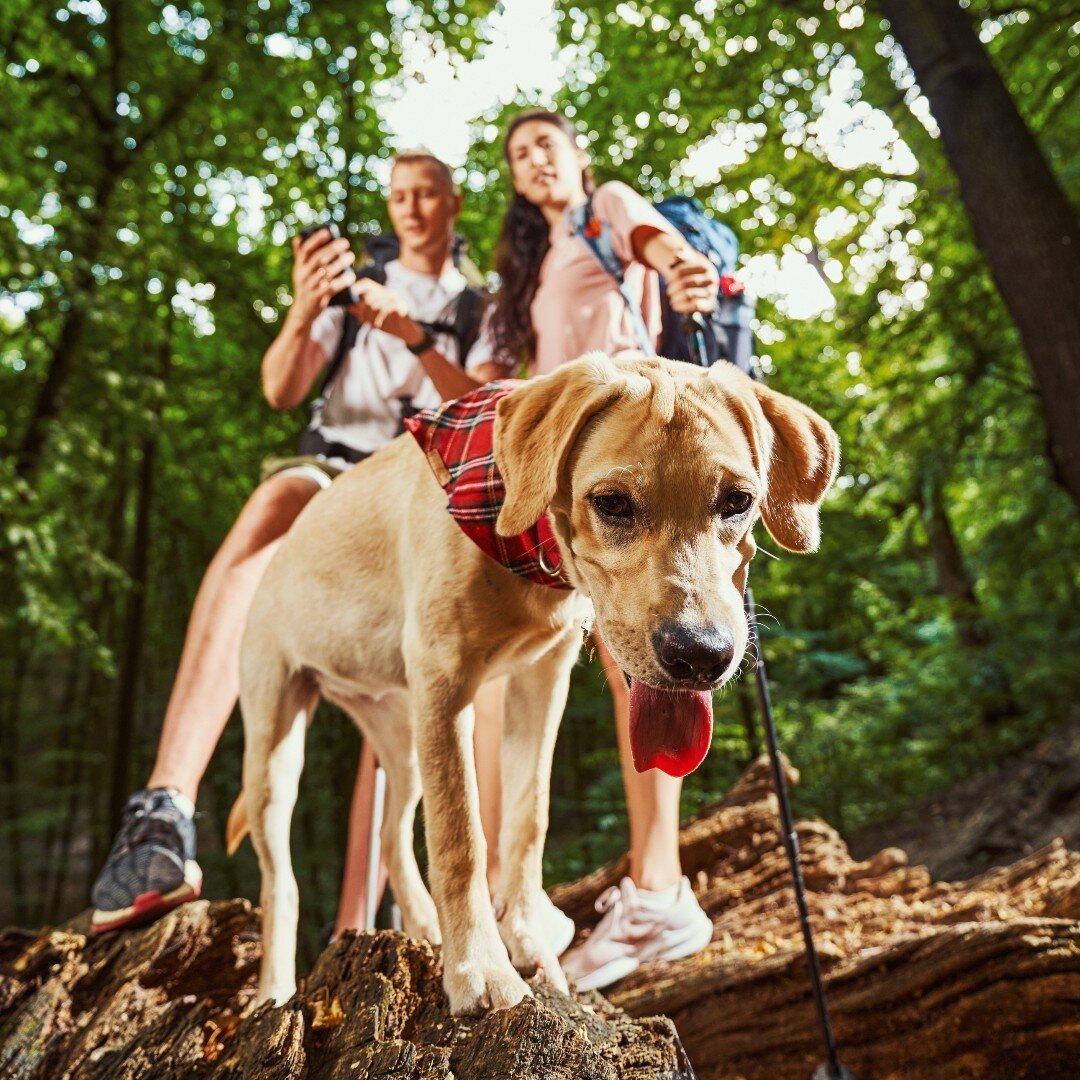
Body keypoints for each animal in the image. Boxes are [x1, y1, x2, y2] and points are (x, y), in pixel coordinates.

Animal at [232, 352, 838, 1010]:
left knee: (391, 838)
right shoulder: (445, 681)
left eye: (737, 501)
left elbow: (527, 820)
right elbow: (462, 835)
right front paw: (480, 968)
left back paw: (423, 927)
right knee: (281, 882)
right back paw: (273, 990)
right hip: (275, 746)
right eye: (612, 503)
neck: (519, 540)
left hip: (402, 734)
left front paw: (525, 941)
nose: (701, 654)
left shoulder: (540, 681)